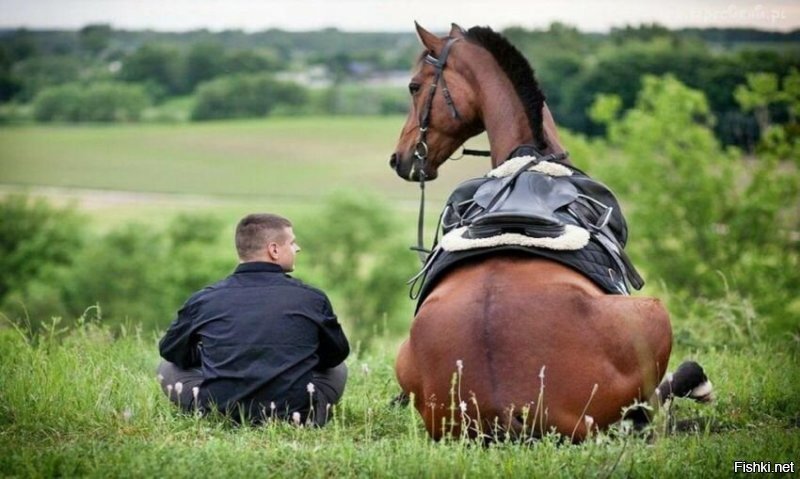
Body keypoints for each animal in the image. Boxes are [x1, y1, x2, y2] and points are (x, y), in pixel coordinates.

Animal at [390, 23, 708, 442]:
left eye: (413, 86)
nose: (399, 158)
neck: (529, 158)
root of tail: (504, 407)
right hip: (653, 318)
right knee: (652, 407)